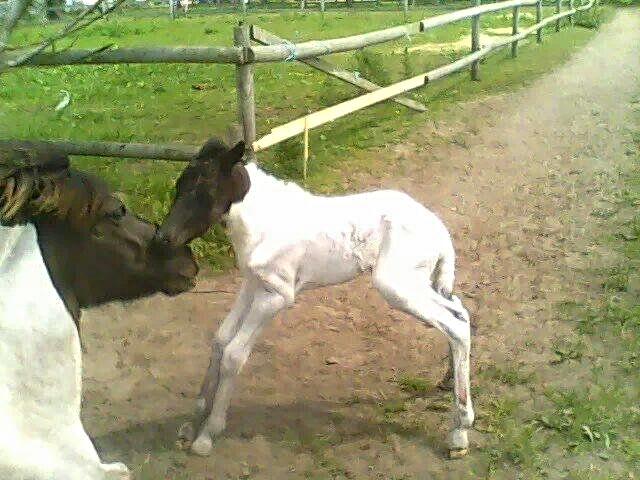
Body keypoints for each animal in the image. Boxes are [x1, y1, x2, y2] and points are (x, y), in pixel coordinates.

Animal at [158, 139, 472, 458]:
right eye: (180, 184)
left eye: (207, 188)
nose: (164, 238)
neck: (265, 223)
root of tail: (441, 232)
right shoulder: (252, 284)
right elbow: (221, 339)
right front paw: (191, 424)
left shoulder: (276, 296)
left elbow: (234, 354)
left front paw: (207, 435)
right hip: (419, 282)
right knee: (459, 312)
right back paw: (447, 386)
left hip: (396, 285)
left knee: (456, 326)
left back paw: (459, 434)